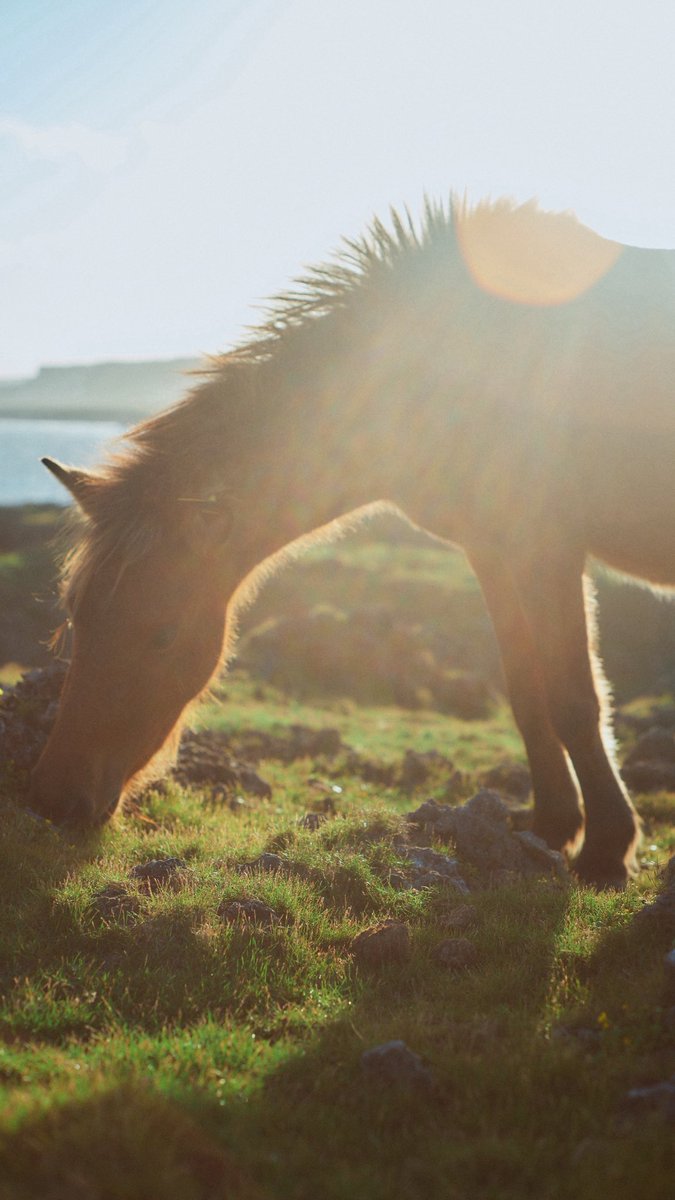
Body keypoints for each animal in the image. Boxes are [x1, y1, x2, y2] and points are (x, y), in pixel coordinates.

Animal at [30, 197, 675, 888]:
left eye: (162, 636)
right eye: (77, 616)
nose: (55, 800)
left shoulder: (546, 548)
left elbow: (573, 698)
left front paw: (607, 851)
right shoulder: (496, 551)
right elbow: (528, 690)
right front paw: (553, 828)